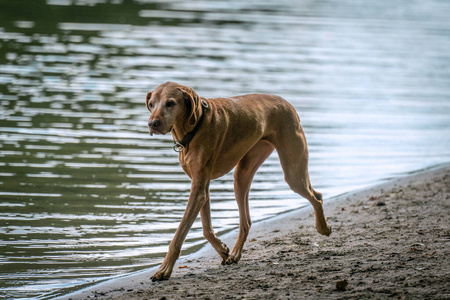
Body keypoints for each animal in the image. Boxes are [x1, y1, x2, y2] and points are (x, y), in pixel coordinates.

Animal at [147, 81, 330, 280]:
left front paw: (164, 269)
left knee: (316, 197)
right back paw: (234, 254)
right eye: (151, 104)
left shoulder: (199, 190)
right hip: (243, 174)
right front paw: (222, 250)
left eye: (170, 103)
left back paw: (323, 228)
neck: (194, 127)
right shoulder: (201, 187)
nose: (152, 124)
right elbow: (206, 228)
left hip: (293, 172)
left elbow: (180, 233)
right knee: (247, 221)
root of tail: (287, 103)